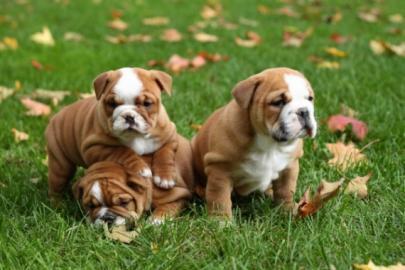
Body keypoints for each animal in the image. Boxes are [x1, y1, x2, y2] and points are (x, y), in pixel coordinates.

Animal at [45, 66, 178, 204]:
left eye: (147, 103)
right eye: (112, 104)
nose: (129, 116)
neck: (136, 136)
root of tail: (57, 115)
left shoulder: (170, 136)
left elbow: (165, 153)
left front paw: (165, 177)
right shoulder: (94, 148)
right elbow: (122, 150)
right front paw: (140, 168)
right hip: (60, 163)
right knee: (57, 182)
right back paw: (57, 203)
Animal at [191, 67, 318, 219]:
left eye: (310, 99)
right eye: (278, 102)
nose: (304, 111)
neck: (270, 144)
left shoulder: (289, 167)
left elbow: (286, 191)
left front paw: (286, 211)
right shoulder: (220, 171)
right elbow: (219, 198)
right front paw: (220, 220)